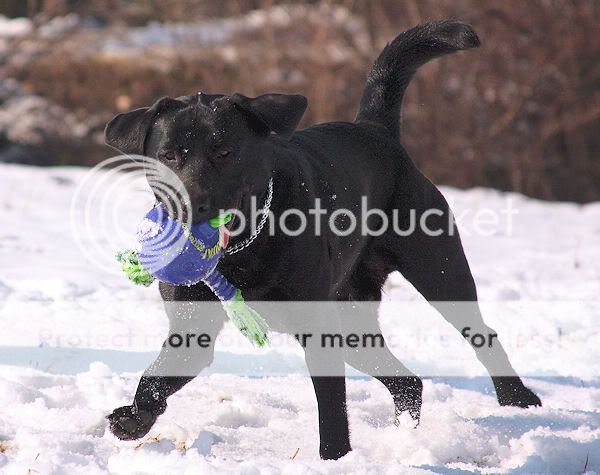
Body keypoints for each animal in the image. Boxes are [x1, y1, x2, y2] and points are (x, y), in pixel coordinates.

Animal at [104, 21, 541, 460]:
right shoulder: (192, 325)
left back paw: (517, 399)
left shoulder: (318, 327)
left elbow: (331, 405)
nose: (193, 205)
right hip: (353, 318)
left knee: (481, 335)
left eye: (224, 151)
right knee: (407, 381)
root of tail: (376, 130)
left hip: (439, 272)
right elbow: (156, 377)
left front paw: (334, 458)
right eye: (169, 155)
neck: (240, 253)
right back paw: (405, 437)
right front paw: (134, 417)